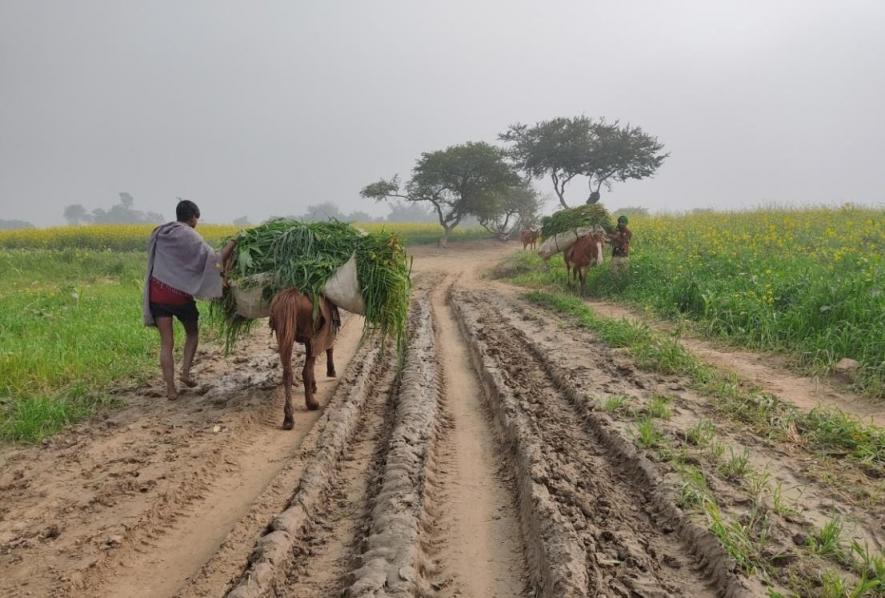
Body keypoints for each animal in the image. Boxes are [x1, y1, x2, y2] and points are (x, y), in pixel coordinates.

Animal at [266, 292, 338, 428]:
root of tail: (291, 296)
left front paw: (313, 386)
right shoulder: (321, 336)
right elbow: (329, 347)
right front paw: (331, 372)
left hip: (283, 336)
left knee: (288, 374)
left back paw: (288, 418)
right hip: (309, 336)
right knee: (305, 371)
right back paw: (312, 404)